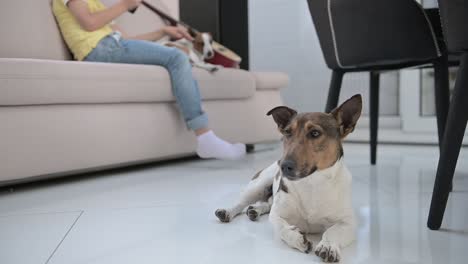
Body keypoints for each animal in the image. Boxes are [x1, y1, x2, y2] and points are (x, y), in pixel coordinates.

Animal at [214, 94, 364, 262]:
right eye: (287, 132)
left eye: (315, 133)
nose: (284, 165)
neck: (312, 183)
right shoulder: (277, 214)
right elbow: (281, 227)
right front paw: (297, 238)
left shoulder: (348, 222)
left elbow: (332, 231)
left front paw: (328, 245)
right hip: (258, 184)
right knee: (242, 203)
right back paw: (228, 211)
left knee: (267, 203)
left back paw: (256, 210)